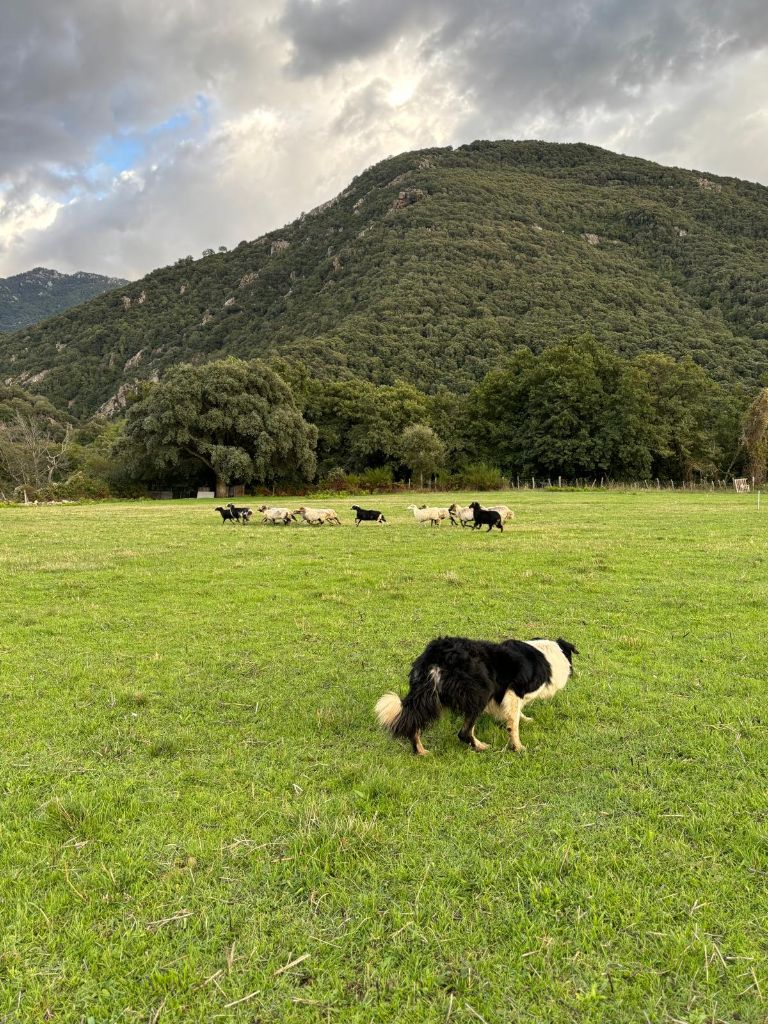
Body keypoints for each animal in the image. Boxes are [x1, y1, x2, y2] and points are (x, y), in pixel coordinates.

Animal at [376, 634, 581, 757]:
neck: (549, 654)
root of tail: (438, 656)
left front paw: (525, 719)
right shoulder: (514, 691)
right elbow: (513, 724)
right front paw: (518, 746)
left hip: (427, 695)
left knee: (414, 723)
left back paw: (421, 751)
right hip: (481, 692)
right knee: (464, 732)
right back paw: (480, 746)